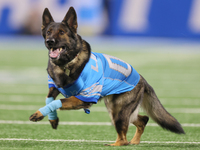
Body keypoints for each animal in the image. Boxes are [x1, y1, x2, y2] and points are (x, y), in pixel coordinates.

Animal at [29, 6, 184, 145]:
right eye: (49, 32)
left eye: (61, 32)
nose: (50, 41)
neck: (67, 64)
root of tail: (142, 79)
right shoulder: (55, 88)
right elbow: (49, 100)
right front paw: (52, 119)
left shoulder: (84, 98)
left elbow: (57, 102)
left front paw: (40, 113)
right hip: (116, 109)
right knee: (142, 120)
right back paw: (134, 141)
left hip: (119, 112)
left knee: (123, 139)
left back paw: (115, 145)